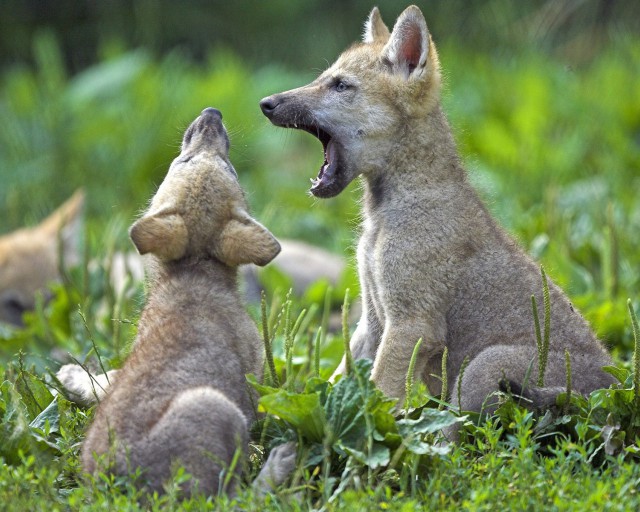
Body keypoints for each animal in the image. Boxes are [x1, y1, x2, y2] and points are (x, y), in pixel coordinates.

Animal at [65, 108, 294, 497]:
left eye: (228, 166)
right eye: (183, 161)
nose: (212, 114)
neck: (195, 269)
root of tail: (120, 483)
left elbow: (107, 378)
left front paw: (72, 376)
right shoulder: (256, 380)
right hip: (216, 411)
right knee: (236, 497)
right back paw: (279, 465)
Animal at [260, 6, 614, 427]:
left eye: (341, 85)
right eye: (323, 78)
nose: (265, 103)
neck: (384, 216)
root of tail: (611, 391)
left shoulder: (412, 324)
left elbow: (377, 398)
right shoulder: (372, 320)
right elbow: (337, 381)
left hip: (482, 368)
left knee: (459, 427)